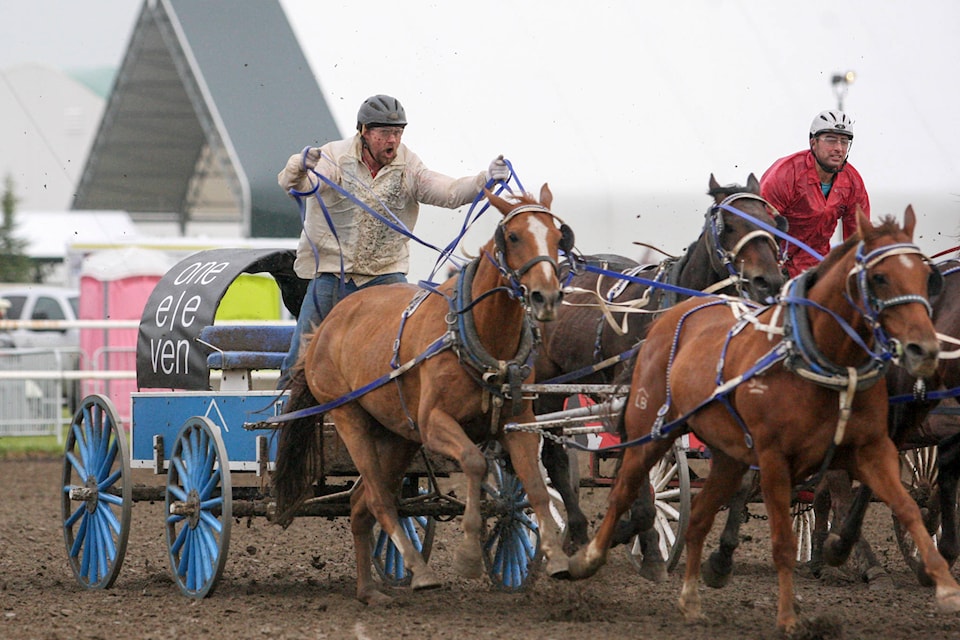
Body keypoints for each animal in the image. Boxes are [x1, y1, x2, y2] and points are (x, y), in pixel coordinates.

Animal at [268, 184, 568, 604]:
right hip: (349, 417)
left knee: (362, 504)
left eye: (558, 236)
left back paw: (368, 590)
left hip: (398, 437)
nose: (546, 297)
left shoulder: (517, 424)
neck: (476, 333)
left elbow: (536, 488)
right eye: (513, 236)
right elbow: (474, 462)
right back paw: (419, 571)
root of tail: (325, 326)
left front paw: (556, 556)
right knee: (378, 499)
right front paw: (468, 555)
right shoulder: (434, 423)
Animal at [568, 208, 956, 632]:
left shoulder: (872, 445)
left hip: (725, 450)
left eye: (926, 278)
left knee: (704, 511)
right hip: (651, 429)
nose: (924, 348)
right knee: (626, 484)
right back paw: (600, 552)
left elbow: (904, 504)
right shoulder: (776, 456)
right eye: (879, 276)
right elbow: (788, 532)